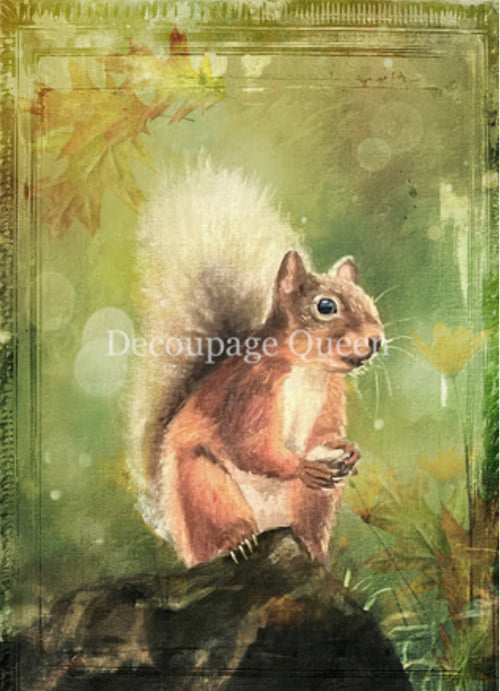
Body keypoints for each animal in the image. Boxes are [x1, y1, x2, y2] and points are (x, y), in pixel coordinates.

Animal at [126, 159, 385, 567]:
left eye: (369, 300)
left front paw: (348, 448)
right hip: (206, 488)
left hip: (313, 502)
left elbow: (324, 433)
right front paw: (301, 465)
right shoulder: (253, 387)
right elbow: (249, 445)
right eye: (326, 306)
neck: (309, 370)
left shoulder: (330, 394)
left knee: (309, 526)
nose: (376, 340)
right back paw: (237, 542)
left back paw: (315, 551)